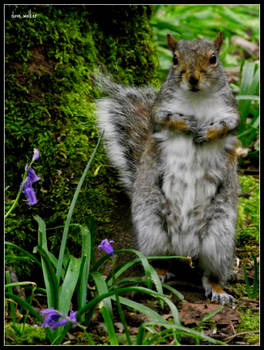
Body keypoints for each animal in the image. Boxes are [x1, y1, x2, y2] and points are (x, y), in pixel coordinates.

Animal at [95, 32, 241, 306]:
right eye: (174, 59)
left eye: (213, 58)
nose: (192, 78)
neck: (196, 99)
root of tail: (185, 248)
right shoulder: (160, 109)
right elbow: (167, 119)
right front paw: (188, 125)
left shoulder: (230, 111)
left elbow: (226, 126)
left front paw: (207, 132)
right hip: (151, 228)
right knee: (157, 259)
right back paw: (160, 272)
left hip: (219, 239)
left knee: (210, 273)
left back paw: (218, 289)